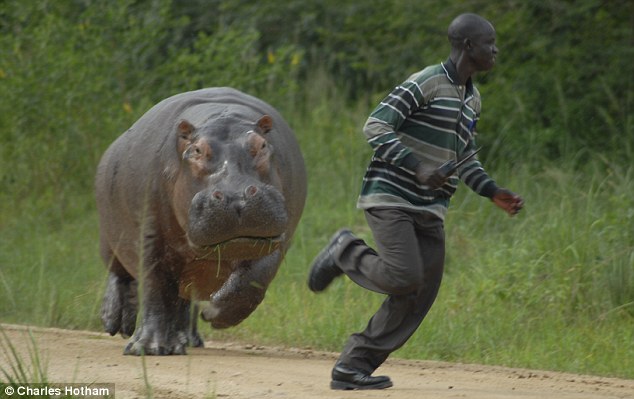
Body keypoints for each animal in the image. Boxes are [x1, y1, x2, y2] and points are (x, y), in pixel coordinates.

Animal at [95, 87, 308, 356]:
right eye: (196, 150)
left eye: (261, 145)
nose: (236, 196)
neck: (223, 116)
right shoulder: (149, 236)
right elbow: (154, 287)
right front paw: (149, 348)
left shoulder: (277, 239)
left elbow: (253, 280)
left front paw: (214, 312)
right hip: (110, 237)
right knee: (120, 274)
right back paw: (116, 322)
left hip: (189, 273)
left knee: (181, 299)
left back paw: (185, 340)